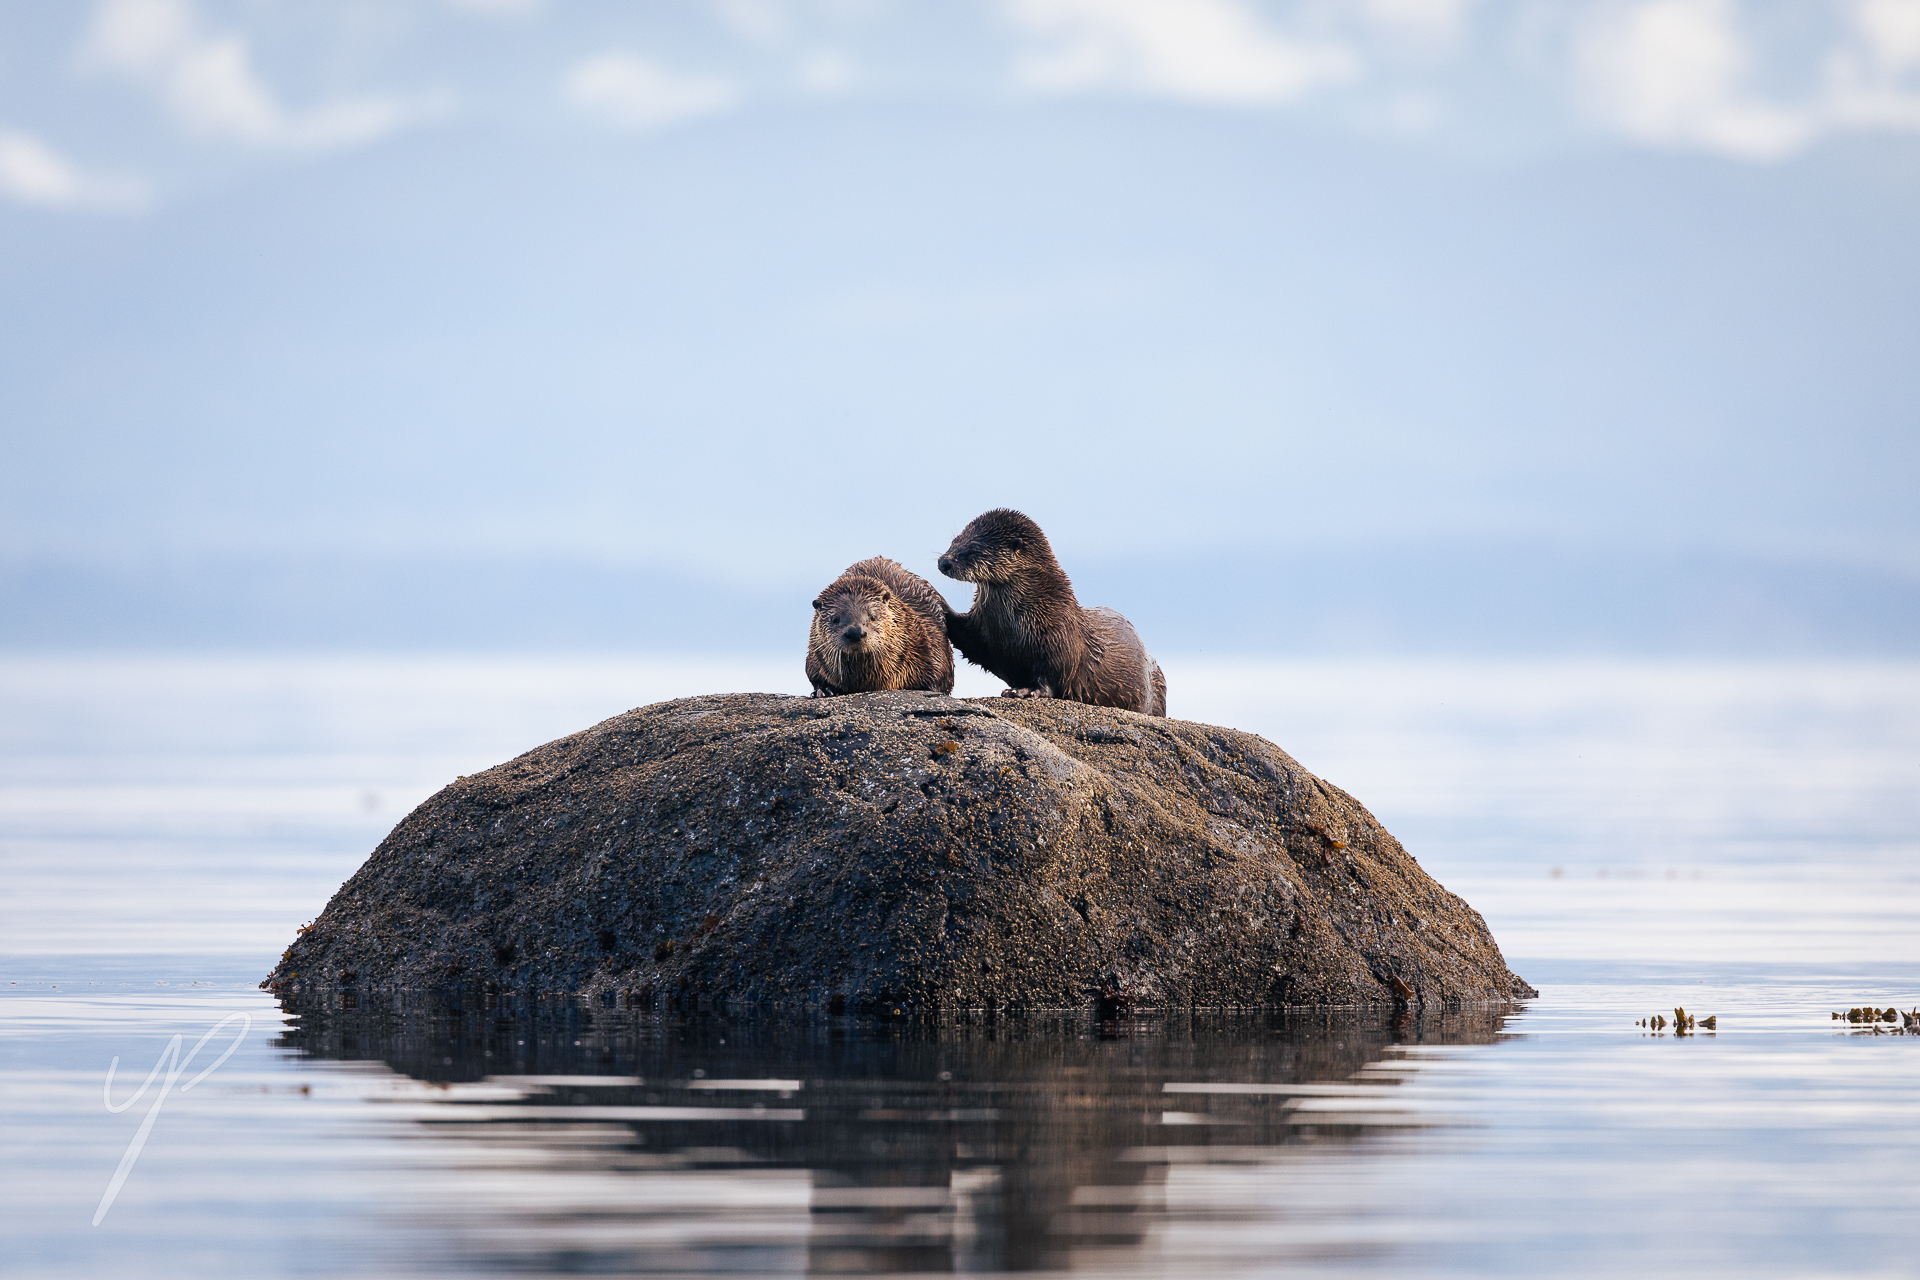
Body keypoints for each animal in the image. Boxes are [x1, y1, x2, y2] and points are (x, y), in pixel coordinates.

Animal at [802, 556, 952, 702]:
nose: (855, 632)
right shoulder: (814, 655)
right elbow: (814, 674)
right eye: (835, 619)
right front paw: (825, 690)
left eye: (872, 616)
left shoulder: (930, 645)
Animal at [933, 506, 1159, 710]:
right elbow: (970, 642)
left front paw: (1023, 691)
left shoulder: (1059, 637)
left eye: (971, 549)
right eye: (954, 541)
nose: (943, 562)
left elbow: (1052, 676)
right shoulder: (983, 632)